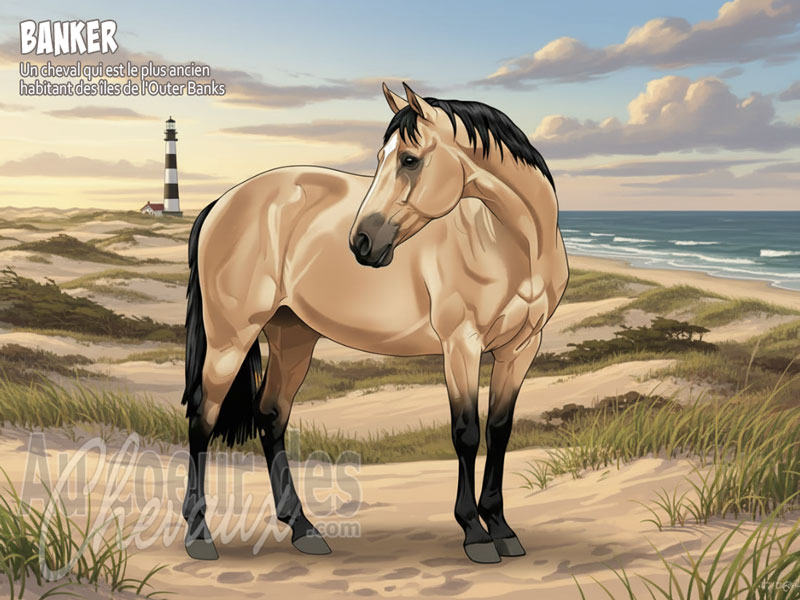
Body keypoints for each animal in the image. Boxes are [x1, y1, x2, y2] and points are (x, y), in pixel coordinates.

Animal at [180, 83, 569, 564]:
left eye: (409, 159)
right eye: (382, 157)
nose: (361, 242)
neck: (513, 245)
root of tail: (222, 203)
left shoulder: (521, 348)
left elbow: (499, 431)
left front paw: (501, 528)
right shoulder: (461, 345)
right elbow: (466, 433)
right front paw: (475, 535)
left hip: (293, 334)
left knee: (271, 416)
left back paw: (304, 529)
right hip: (230, 337)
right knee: (203, 417)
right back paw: (199, 535)